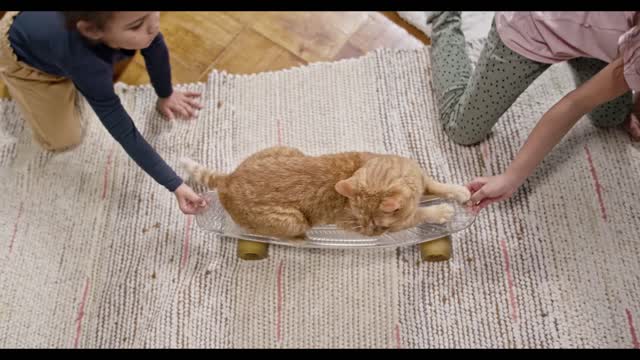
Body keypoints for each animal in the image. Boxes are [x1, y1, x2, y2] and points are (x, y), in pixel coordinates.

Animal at [180, 146, 470, 239]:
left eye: (373, 223)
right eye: (363, 223)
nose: (369, 231)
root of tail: (229, 178)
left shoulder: (422, 179)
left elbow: (438, 185)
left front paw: (460, 191)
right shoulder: (394, 225)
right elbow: (418, 215)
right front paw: (440, 211)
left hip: (290, 149)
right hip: (293, 220)